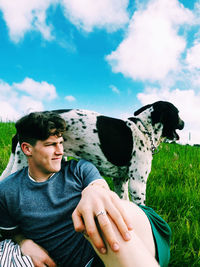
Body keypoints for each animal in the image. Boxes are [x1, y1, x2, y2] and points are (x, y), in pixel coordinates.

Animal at [0, 100, 184, 205]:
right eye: (178, 113)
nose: (183, 123)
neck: (144, 129)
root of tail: (20, 128)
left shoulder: (121, 181)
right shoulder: (137, 185)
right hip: (23, 166)